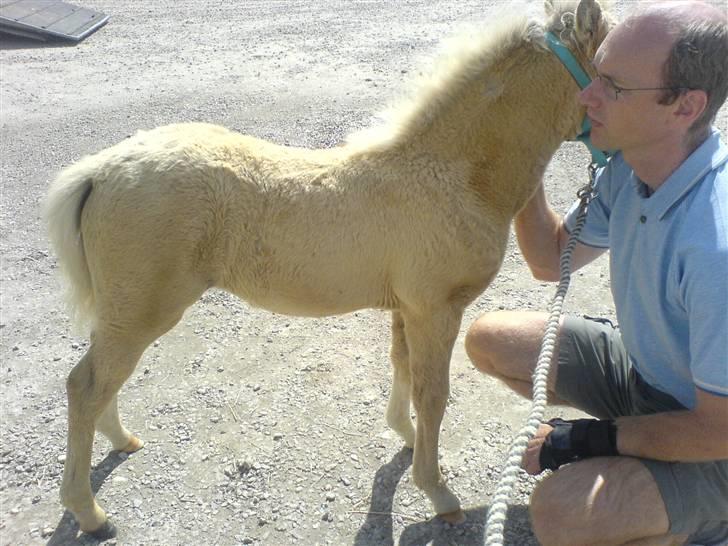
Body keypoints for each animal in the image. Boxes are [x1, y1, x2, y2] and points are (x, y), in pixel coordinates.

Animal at [43, 0, 612, 538]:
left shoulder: (409, 308)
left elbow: (402, 367)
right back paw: (90, 513)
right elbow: (433, 395)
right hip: (141, 313)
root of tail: (100, 170)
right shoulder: (437, 310)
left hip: (123, 313)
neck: (453, 174)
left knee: (101, 381)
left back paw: (122, 442)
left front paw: (405, 438)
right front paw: (438, 492)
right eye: (608, 61)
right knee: (86, 386)